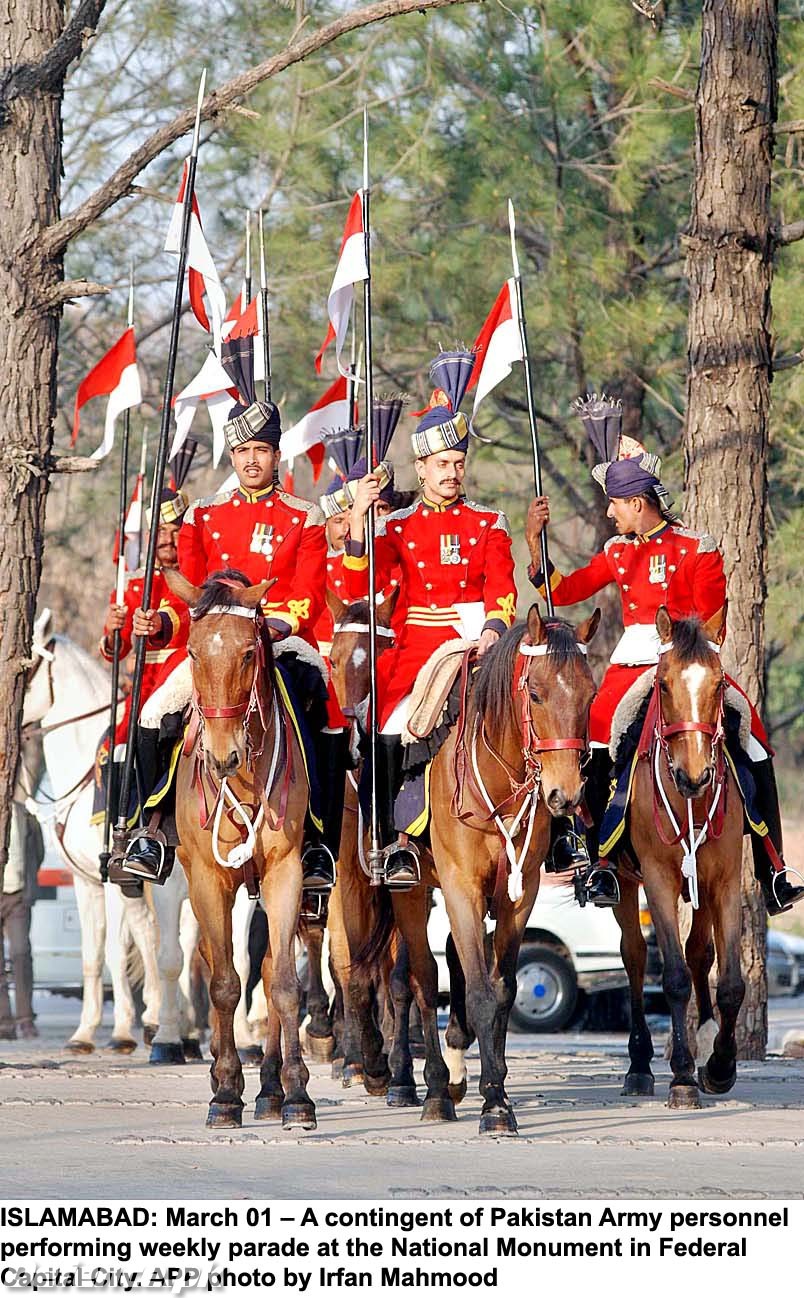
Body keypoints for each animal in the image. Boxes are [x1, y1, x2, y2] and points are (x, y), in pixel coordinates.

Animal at [22, 620, 161, 1053]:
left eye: (25, 665)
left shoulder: (116, 880)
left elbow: (119, 950)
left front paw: (123, 1031)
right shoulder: (87, 883)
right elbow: (93, 955)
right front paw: (84, 1032)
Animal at [163, 565, 314, 1126]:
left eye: (249, 652)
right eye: (192, 652)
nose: (222, 756)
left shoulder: (286, 872)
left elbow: (285, 983)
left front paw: (297, 1093)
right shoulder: (207, 879)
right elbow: (224, 982)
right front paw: (225, 1091)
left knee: (269, 970)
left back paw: (271, 1088)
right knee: (217, 962)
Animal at [376, 602, 597, 1131]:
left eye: (590, 694)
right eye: (535, 692)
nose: (565, 795)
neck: (500, 781)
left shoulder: (520, 894)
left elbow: (502, 988)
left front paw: (495, 1092)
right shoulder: (460, 887)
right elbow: (475, 989)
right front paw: (493, 1105)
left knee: (452, 964)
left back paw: (455, 1073)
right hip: (411, 891)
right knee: (420, 978)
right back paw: (432, 1089)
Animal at [613, 604, 742, 1105]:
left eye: (720, 683)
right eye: (664, 684)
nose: (694, 776)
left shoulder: (724, 882)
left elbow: (728, 982)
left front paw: (720, 1065)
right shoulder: (659, 880)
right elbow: (672, 977)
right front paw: (684, 1076)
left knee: (699, 953)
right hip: (625, 885)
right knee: (635, 956)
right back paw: (639, 1065)